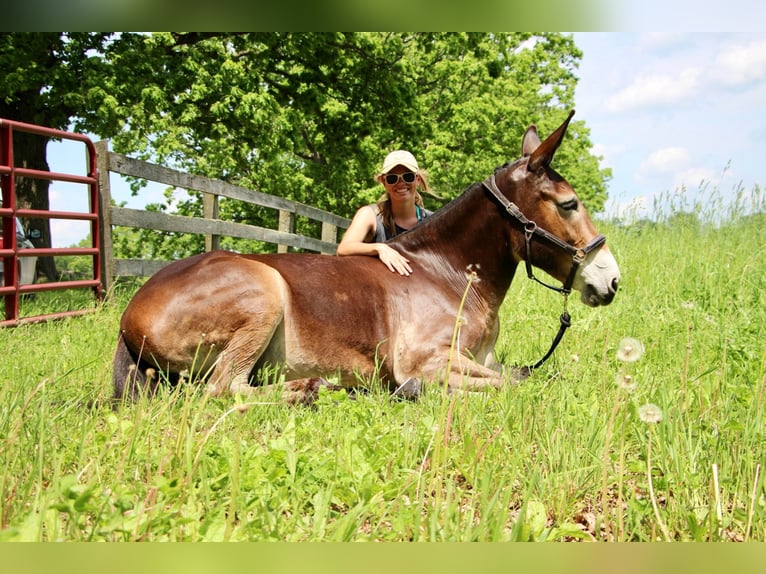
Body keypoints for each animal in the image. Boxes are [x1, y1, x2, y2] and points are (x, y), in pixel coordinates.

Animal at [114, 111, 620, 404]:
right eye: (569, 204)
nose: (611, 280)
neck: (448, 276)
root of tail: (130, 316)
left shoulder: (486, 360)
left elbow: (525, 376)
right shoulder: (427, 362)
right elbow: (513, 384)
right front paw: (411, 392)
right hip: (264, 294)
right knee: (225, 390)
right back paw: (310, 389)